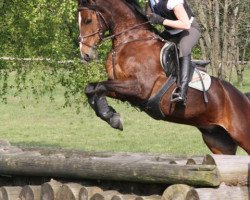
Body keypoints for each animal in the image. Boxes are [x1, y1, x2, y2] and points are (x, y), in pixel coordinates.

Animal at [77, 0, 250, 155]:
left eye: (88, 20)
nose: (85, 54)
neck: (130, 40)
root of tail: (243, 97)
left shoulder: (141, 88)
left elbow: (99, 86)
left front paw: (113, 117)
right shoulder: (122, 89)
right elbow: (92, 88)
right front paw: (110, 116)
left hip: (241, 134)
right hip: (219, 141)